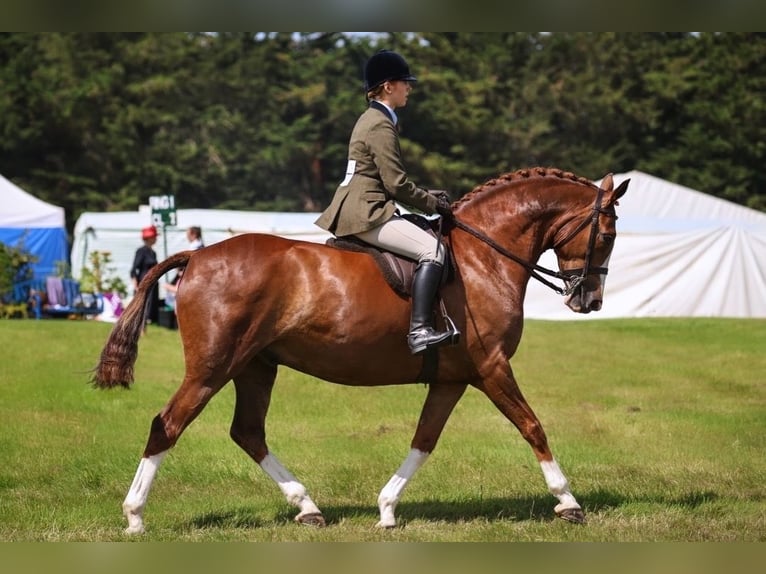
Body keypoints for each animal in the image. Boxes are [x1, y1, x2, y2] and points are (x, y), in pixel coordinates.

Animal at [93, 167, 629, 534]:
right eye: (607, 235)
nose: (589, 300)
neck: (485, 257)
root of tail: (198, 255)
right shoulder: (492, 367)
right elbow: (532, 426)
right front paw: (568, 501)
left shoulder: (453, 378)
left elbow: (425, 438)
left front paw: (387, 507)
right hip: (212, 368)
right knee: (168, 425)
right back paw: (135, 515)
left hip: (255, 367)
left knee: (247, 432)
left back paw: (307, 507)